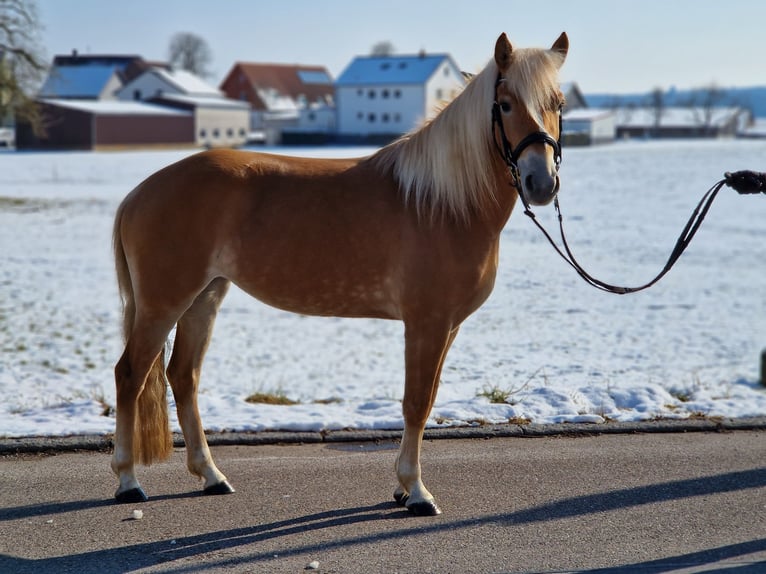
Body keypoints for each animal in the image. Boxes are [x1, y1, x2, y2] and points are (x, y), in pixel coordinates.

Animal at [112, 31, 568, 516]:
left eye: (558, 103)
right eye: (505, 104)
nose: (542, 183)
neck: (442, 202)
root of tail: (139, 192)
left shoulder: (448, 326)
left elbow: (426, 400)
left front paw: (403, 488)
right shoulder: (426, 322)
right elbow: (416, 403)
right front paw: (416, 491)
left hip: (205, 297)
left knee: (183, 376)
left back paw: (211, 475)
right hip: (164, 303)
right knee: (130, 374)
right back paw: (128, 481)